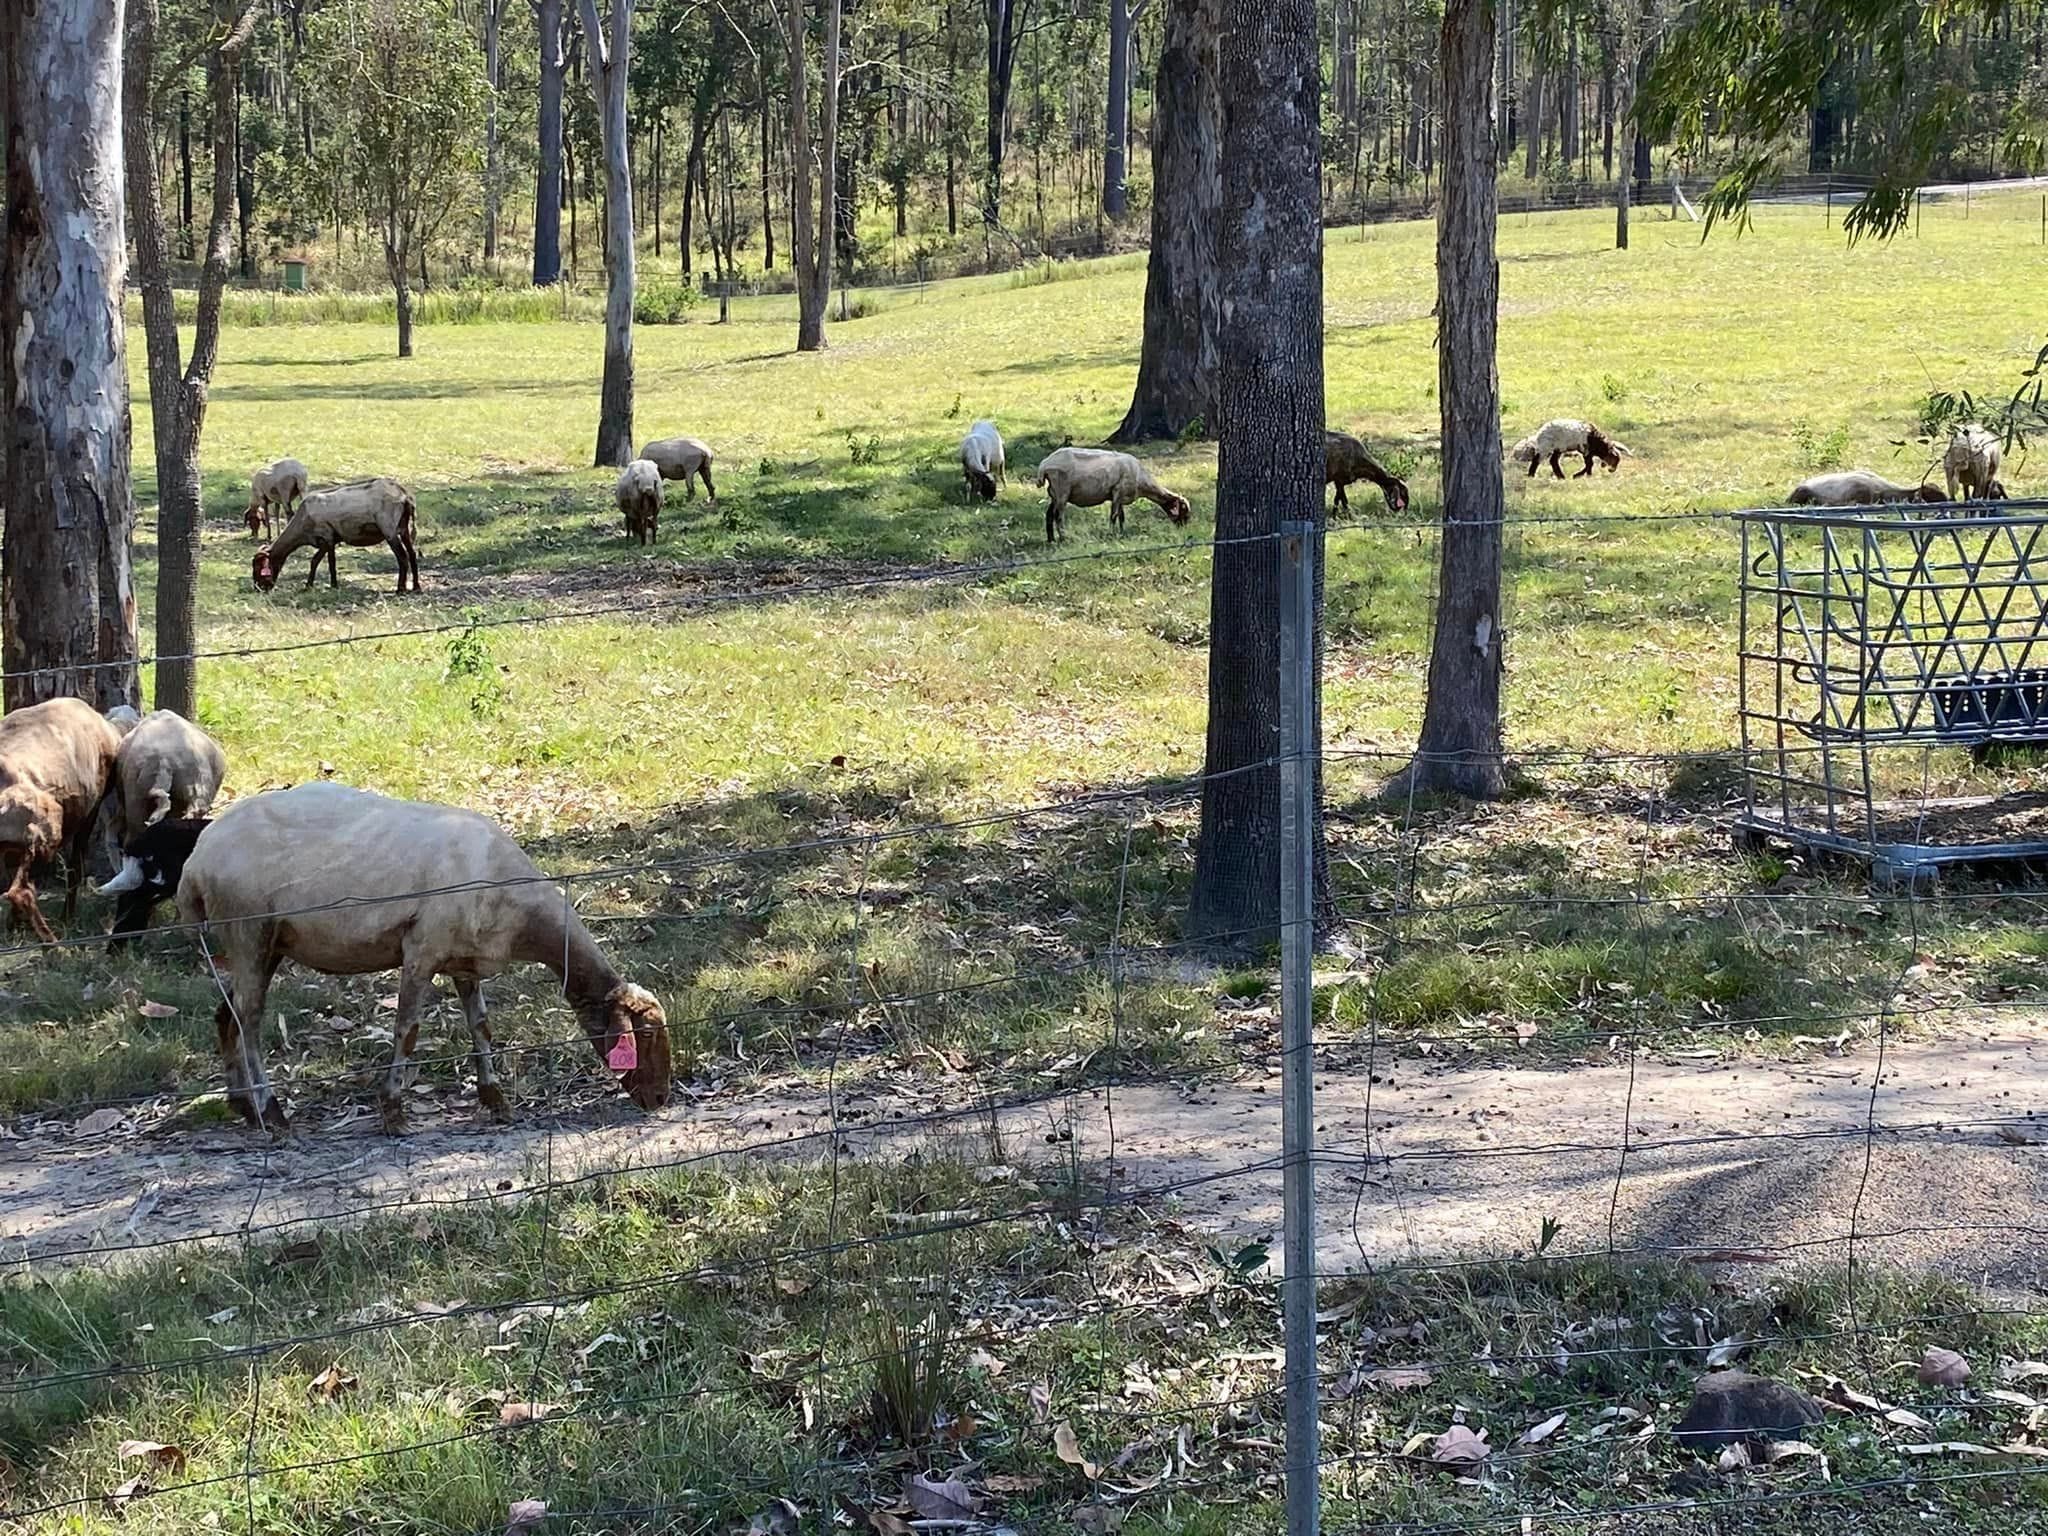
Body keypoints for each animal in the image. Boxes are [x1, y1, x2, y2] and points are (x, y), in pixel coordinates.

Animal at [0, 700, 123, 946]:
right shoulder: (89, 811)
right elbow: (75, 865)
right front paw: (68, 917)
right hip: (41, 838)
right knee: (22, 891)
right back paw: (55, 942)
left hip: (19, 846)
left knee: (18, 888)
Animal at [176, 786, 671, 1138]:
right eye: (643, 1038)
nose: (661, 1098)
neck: (523, 914)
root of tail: (197, 860)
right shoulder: (421, 951)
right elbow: (408, 1031)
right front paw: (393, 1113)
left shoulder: (465, 963)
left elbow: (481, 1028)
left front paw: (497, 1101)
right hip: (248, 929)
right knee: (249, 1019)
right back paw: (271, 1113)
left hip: (262, 945)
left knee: (226, 1014)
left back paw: (243, 1106)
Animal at [251, 475, 419, 593]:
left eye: (259, 566)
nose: (258, 588)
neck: (301, 525)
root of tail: (404, 495)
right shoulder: (323, 541)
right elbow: (314, 561)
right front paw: (309, 585)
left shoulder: (328, 536)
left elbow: (331, 562)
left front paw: (333, 585)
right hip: (403, 528)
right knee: (412, 554)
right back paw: (416, 587)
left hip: (389, 528)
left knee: (402, 556)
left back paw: (400, 589)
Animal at [1032, 444, 1196, 548]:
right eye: (1184, 510)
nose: (1185, 529)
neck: (1142, 481)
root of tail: (1045, 465)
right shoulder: (1118, 491)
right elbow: (1114, 515)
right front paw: (1111, 534)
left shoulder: (1120, 496)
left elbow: (1121, 517)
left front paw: (1122, 533)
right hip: (1062, 491)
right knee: (1058, 516)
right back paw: (1063, 539)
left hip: (1054, 493)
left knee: (1049, 515)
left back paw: (1051, 540)